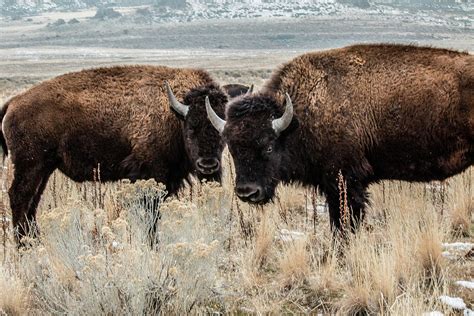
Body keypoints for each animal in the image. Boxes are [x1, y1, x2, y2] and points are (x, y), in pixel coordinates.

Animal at [0, 65, 232, 243]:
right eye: (191, 128)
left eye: (222, 134)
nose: (208, 165)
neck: (174, 115)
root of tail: (13, 102)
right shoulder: (150, 176)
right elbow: (151, 215)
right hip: (30, 166)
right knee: (19, 197)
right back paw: (23, 246)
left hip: (44, 169)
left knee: (32, 202)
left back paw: (34, 242)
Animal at [206, 43, 474, 232]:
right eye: (232, 148)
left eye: (269, 146)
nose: (247, 192)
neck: (297, 117)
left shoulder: (344, 180)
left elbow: (343, 224)